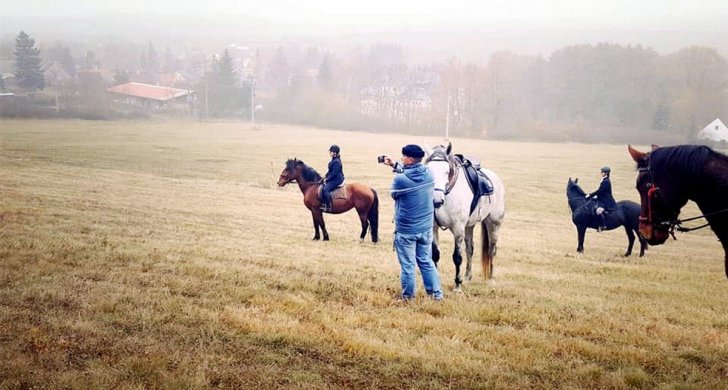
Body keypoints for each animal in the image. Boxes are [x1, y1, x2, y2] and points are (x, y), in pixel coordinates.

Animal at [426, 142, 506, 290]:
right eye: (429, 171)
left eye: (446, 172)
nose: (436, 201)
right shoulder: (433, 228)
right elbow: (435, 255)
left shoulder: (458, 229)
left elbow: (457, 257)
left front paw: (457, 285)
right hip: (469, 226)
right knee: (470, 249)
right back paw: (467, 276)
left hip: (493, 224)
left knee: (491, 249)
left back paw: (490, 278)